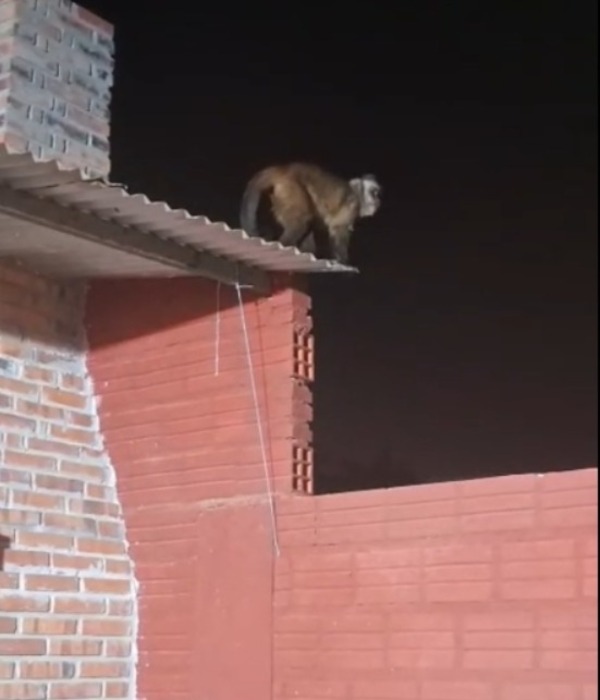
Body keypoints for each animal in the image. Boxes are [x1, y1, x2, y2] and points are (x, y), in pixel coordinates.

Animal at [239, 162, 381, 265]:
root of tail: (283, 169)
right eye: (374, 193)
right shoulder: (352, 204)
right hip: (290, 187)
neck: (357, 193)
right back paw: (284, 244)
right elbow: (338, 228)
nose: (378, 201)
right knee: (302, 221)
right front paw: (343, 262)